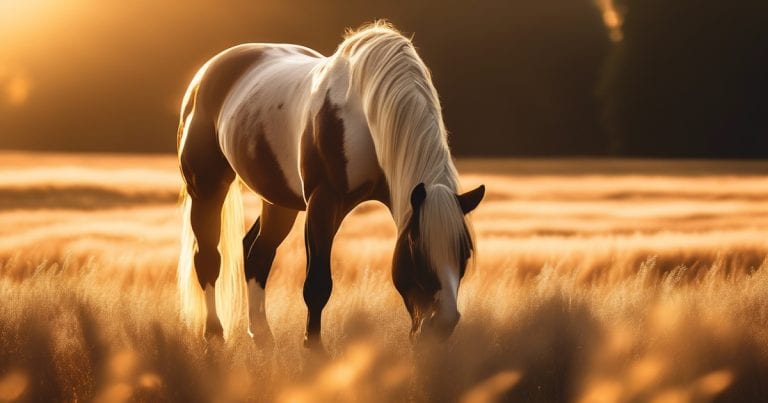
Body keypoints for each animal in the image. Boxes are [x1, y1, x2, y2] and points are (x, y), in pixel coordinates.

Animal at [176, 21, 485, 349]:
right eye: (418, 250)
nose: (442, 324)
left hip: (279, 202)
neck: (364, 113)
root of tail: (206, 73)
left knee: (256, 253)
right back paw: (214, 334)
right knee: (208, 259)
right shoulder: (324, 201)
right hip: (206, 187)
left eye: (464, 252)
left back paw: (262, 336)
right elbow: (317, 283)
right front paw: (314, 349)